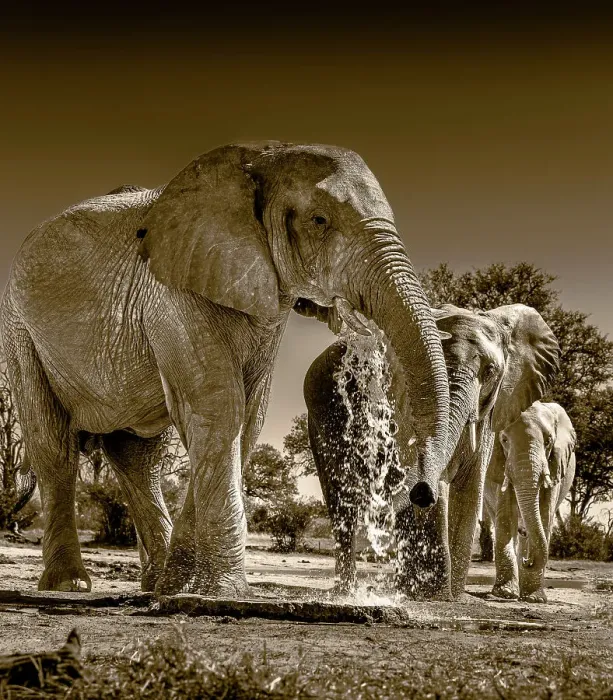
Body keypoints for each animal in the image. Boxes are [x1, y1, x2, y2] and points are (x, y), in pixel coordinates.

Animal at [0, 141, 451, 597]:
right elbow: (219, 408)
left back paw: (155, 584)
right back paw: (69, 583)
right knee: (52, 445)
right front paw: (224, 593)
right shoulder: (173, 292)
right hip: (20, 332)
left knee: (138, 459)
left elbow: (245, 420)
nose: (421, 492)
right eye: (320, 221)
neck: (262, 158)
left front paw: (181, 589)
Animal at [304, 303, 560, 599]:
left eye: (490, 371)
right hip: (322, 413)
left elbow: (470, 486)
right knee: (341, 497)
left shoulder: (490, 413)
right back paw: (348, 591)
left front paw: (454, 597)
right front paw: (435, 595)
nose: (422, 492)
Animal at [483, 401, 576, 602]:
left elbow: (545, 514)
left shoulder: (554, 464)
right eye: (504, 440)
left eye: (548, 441)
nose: (528, 560)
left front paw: (534, 599)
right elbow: (506, 516)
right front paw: (505, 594)